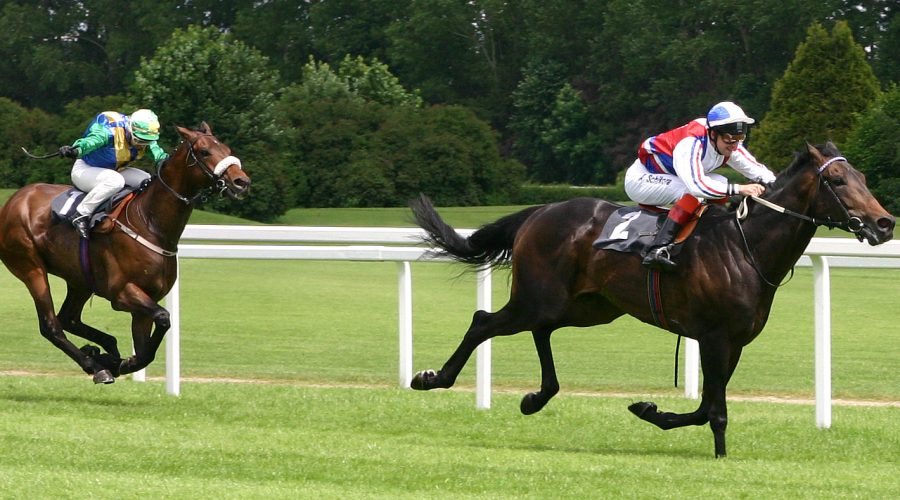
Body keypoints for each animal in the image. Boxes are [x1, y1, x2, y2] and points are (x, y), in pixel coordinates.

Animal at [0, 122, 250, 384]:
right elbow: (163, 318)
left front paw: (116, 360)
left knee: (68, 318)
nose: (241, 181)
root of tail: (13, 201)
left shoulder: (145, 302)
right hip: (31, 268)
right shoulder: (123, 293)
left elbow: (146, 350)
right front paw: (115, 362)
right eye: (204, 152)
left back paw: (101, 350)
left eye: (226, 149)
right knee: (51, 325)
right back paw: (94, 365)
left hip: (80, 279)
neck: (150, 223)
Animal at [408, 142, 894, 457]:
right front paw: (719, 455)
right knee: (483, 321)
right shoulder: (714, 336)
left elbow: (705, 407)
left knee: (540, 330)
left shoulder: (734, 342)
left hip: (585, 307)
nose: (884, 223)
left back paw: (537, 397)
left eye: (862, 177)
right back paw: (432, 379)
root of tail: (540, 211)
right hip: (539, 297)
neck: (746, 245)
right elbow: (715, 410)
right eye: (837, 179)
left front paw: (649, 409)